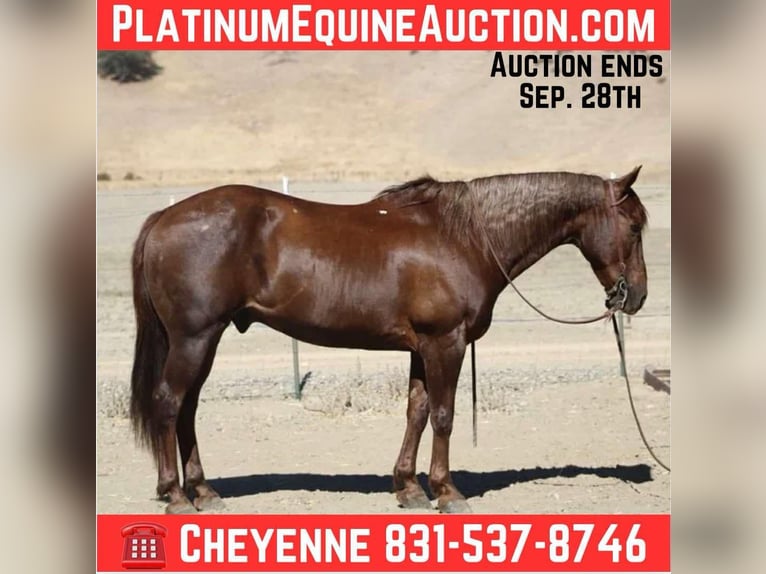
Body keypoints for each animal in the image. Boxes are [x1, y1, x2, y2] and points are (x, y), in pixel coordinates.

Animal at [130, 167, 648, 514]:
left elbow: (416, 411)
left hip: (203, 340)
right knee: (169, 402)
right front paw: (447, 492)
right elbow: (443, 415)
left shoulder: (422, 348)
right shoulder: (446, 343)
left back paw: (203, 492)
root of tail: (164, 217)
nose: (637, 296)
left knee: (187, 409)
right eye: (635, 225)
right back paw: (175, 495)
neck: (466, 237)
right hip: (195, 337)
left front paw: (409, 488)